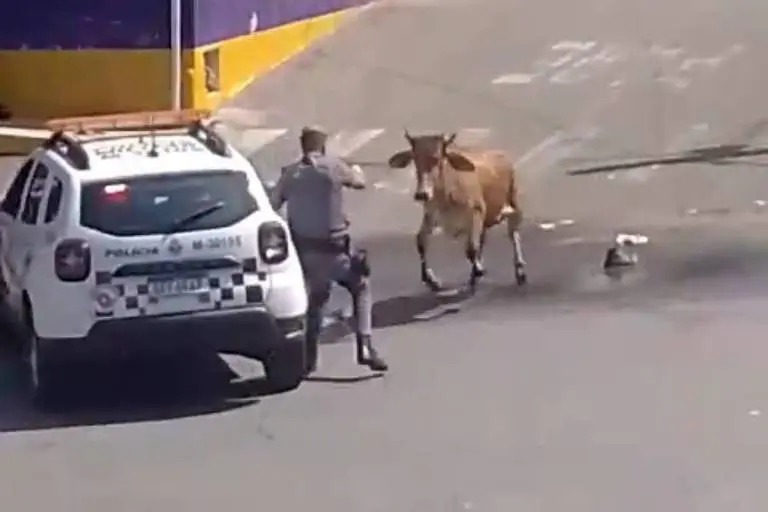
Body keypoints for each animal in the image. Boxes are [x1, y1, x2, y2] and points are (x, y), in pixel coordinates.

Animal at [388, 130, 524, 294]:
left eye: (438, 158)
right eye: (415, 159)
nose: (422, 194)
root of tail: (503, 156)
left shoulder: (476, 212)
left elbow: (471, 249)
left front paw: (479, 270)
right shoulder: (431, 216)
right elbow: (421, 242)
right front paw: (431, 280)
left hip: (513, 204)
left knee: (513, 234)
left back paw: (519, 270)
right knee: (484, 239)